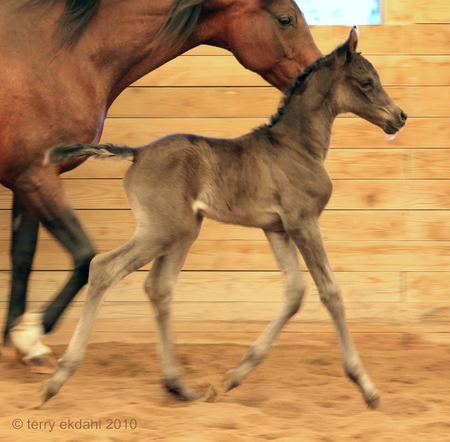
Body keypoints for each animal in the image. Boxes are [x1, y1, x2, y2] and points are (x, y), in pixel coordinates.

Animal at [43, 26, 408, 408]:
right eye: (366, 82)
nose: (399, 117)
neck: (297, 147)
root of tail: (138, 153)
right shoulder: (303, 221)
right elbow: (330, 291)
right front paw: (365, 386)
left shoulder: (277, 228)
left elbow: (294, 291)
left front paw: (235, 376)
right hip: (162, 230)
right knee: (104, 268)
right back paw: (59, 378)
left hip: (185, 230)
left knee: (158, 286)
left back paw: (178, 385)